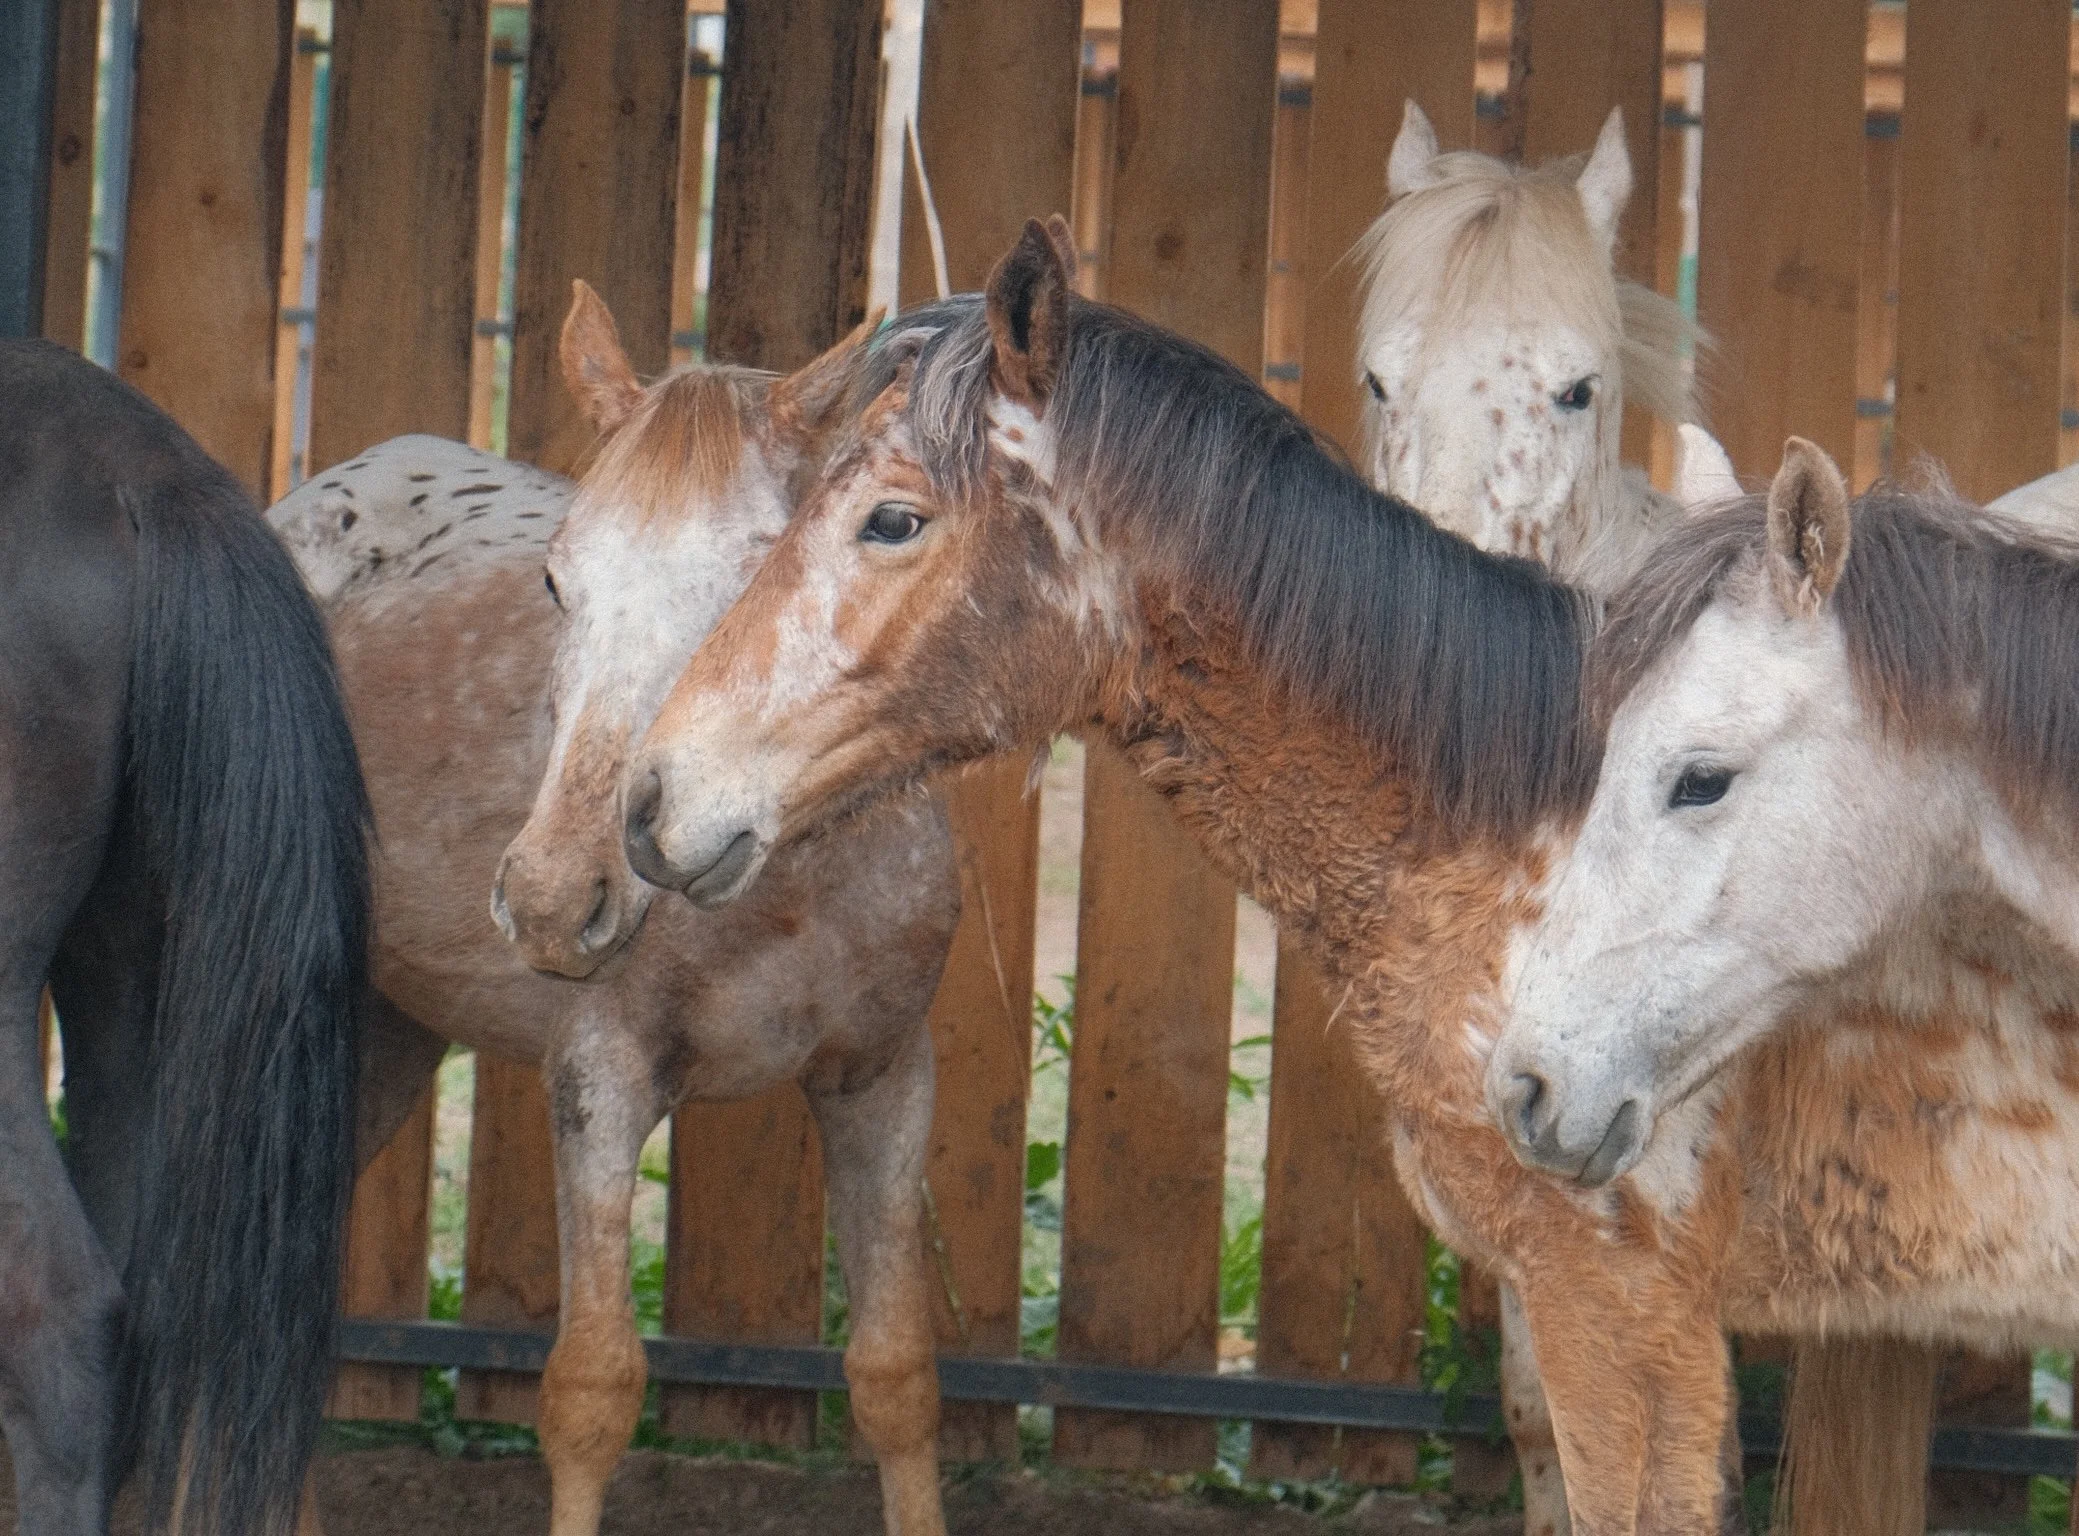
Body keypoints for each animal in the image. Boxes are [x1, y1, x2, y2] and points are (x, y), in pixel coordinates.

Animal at [267, 286, 960, 1536]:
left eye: (755, 574)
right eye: (556, 582)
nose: (551, 898)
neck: (788, 885)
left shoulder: (881, 1077)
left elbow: (897, 1380)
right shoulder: (600, 1078)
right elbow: (591, 1391)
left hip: (385, 1033)